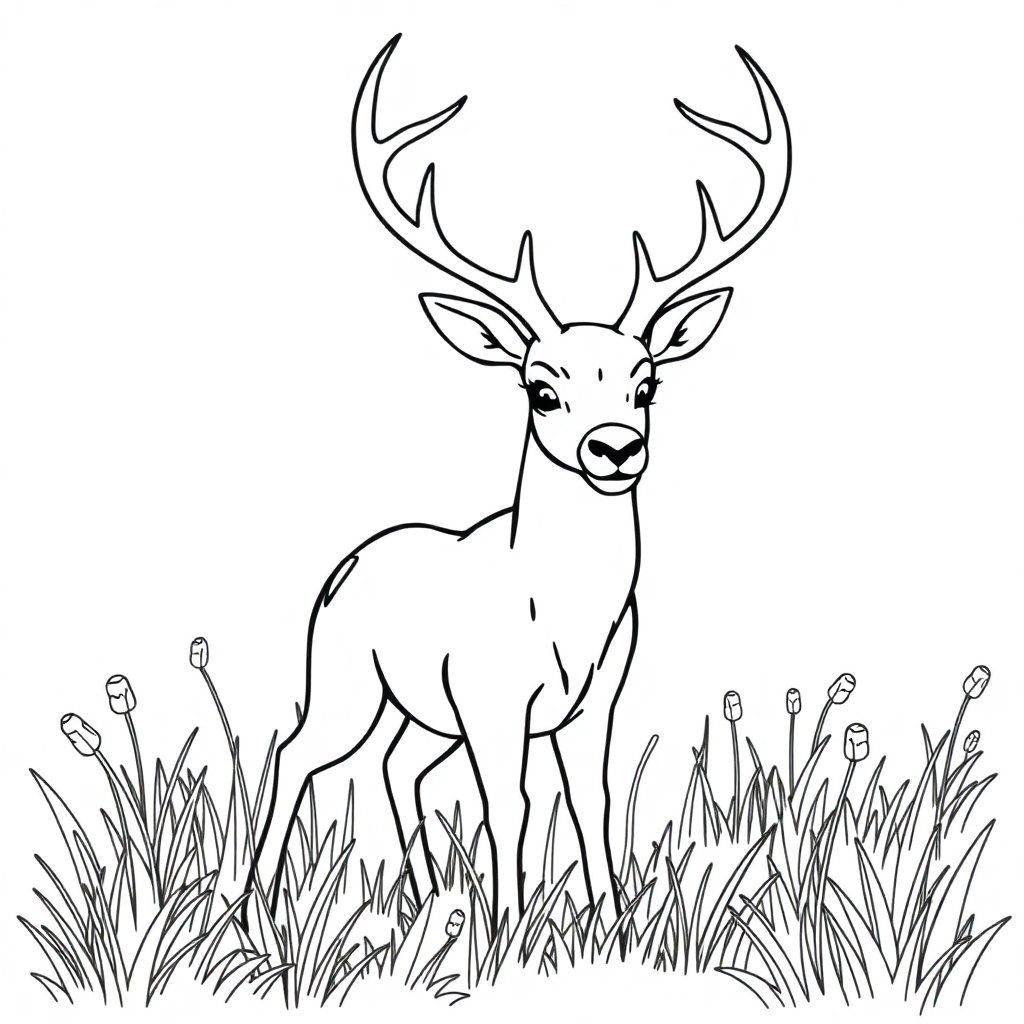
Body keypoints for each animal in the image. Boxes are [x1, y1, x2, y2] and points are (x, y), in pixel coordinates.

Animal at [247, 34, 791, 935]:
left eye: (647, 385)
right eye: (541, 389)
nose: (615, 448)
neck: (559, 614)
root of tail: (348, 564)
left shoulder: (594, 702)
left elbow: (591, 803)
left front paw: (611, 927)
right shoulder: (492, 698)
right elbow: (512, 807)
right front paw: (508, 933)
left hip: (423, 712)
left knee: (400, 766)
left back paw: (424, 898)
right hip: (346, 680)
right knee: (297, 750)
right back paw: (249, 905)